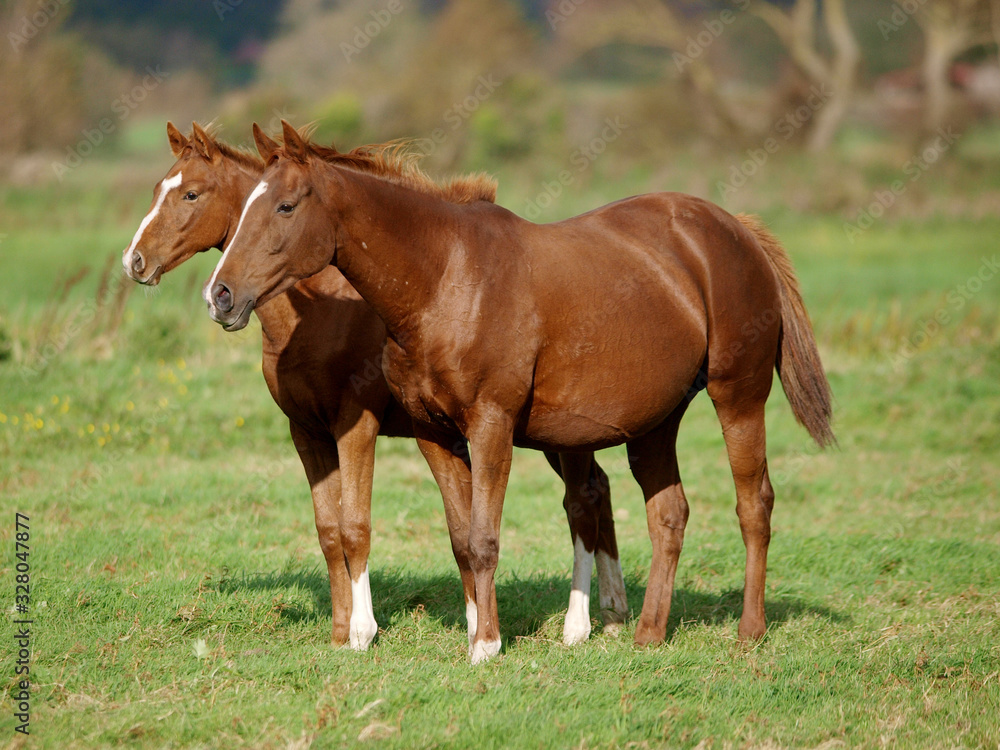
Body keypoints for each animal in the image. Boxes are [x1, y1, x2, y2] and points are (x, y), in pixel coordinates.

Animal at [121, 122, 628, 652]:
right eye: (158, 189)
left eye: (191, 194)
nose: (134, 261)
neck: (322, 310)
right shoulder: (307, 431)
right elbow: (328, 530)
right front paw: (339, 631)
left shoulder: (356, 424)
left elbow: (355, 526)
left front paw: (363, 632)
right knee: (600, 488)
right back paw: (613, 612)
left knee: (583, 499)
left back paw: (582, 624)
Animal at [203, 122, 836, 664]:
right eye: (245, 205)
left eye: (285, 205)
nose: (221, 295)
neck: (446, 278)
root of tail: (737, 229)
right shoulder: (435, 436)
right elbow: (462, 540)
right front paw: (480, 632)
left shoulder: (490, 427)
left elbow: (484, 538)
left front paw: (485, 646)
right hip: (656, 423)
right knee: (668, 515)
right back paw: (647, 634)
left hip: (738, 398)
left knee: (753, 505)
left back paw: (748, 631)